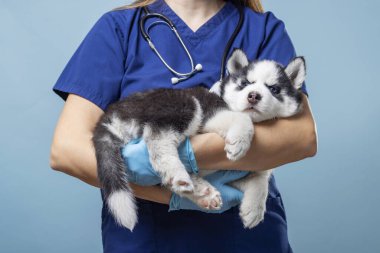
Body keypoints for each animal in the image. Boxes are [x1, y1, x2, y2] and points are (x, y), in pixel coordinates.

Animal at [92, 49, 306, 231]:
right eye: (245, 83)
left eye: (274, 89)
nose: (253, 96)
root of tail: (109, 116)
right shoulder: (212, 115)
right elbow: (242, 119)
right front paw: (239, 142)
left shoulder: (237, 173)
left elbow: (261, 179)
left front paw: (254, 208)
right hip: (185, 105)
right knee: (157, 136)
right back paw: (177, 173)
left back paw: (202, 191)